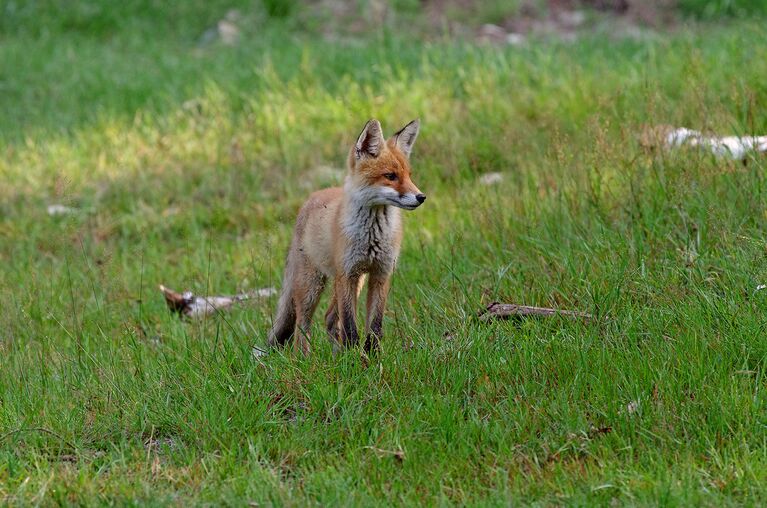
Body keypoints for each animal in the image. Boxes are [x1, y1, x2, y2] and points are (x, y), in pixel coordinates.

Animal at [268, 119, 426, 356]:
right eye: (390, 176)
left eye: (409, 175)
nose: (421, 197)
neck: (372, 236)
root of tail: (311, 199)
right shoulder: (348, 274)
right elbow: (351, 326)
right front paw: (355, 358)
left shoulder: (380, 273)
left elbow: (375, 326)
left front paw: (371, 356)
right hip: (313, 285)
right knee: (301, 325)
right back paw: (304, 359)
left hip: (353, 281)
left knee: (329, 318)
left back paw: (337, 355)